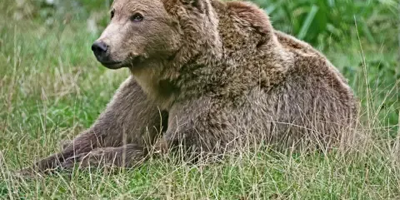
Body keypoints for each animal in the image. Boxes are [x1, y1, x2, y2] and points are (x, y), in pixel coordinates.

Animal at [19, 0, 356, 173]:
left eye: (138, 16)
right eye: (114, 12)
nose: (101, 46)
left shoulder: (222, 103)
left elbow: (178, 151)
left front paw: (90, 162)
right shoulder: (143, 95)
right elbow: (102, 132)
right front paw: (34, 168)